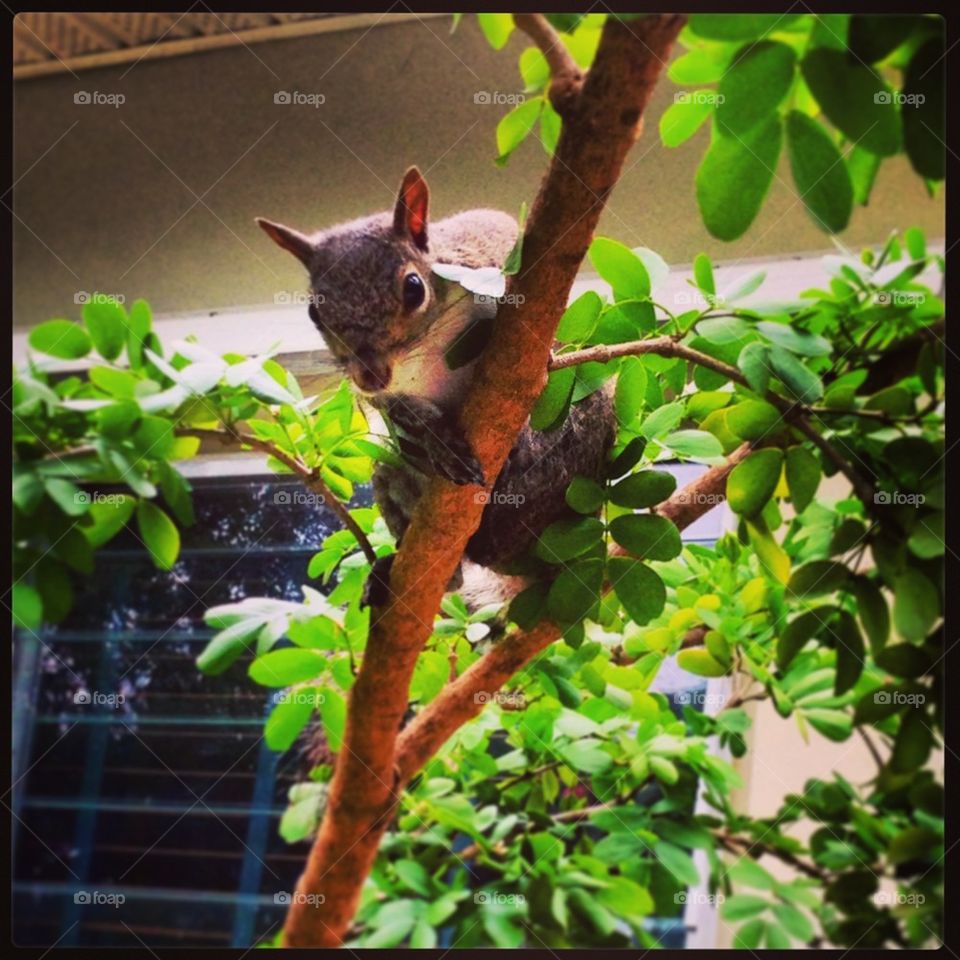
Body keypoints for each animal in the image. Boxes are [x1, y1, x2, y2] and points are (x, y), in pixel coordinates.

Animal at [257, 167, 615, 604]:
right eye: (313, 311)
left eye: (413, 288)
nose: (369, 374)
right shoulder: (386, 397)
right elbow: (404, 411)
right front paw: (437, 440)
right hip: (388, 473)